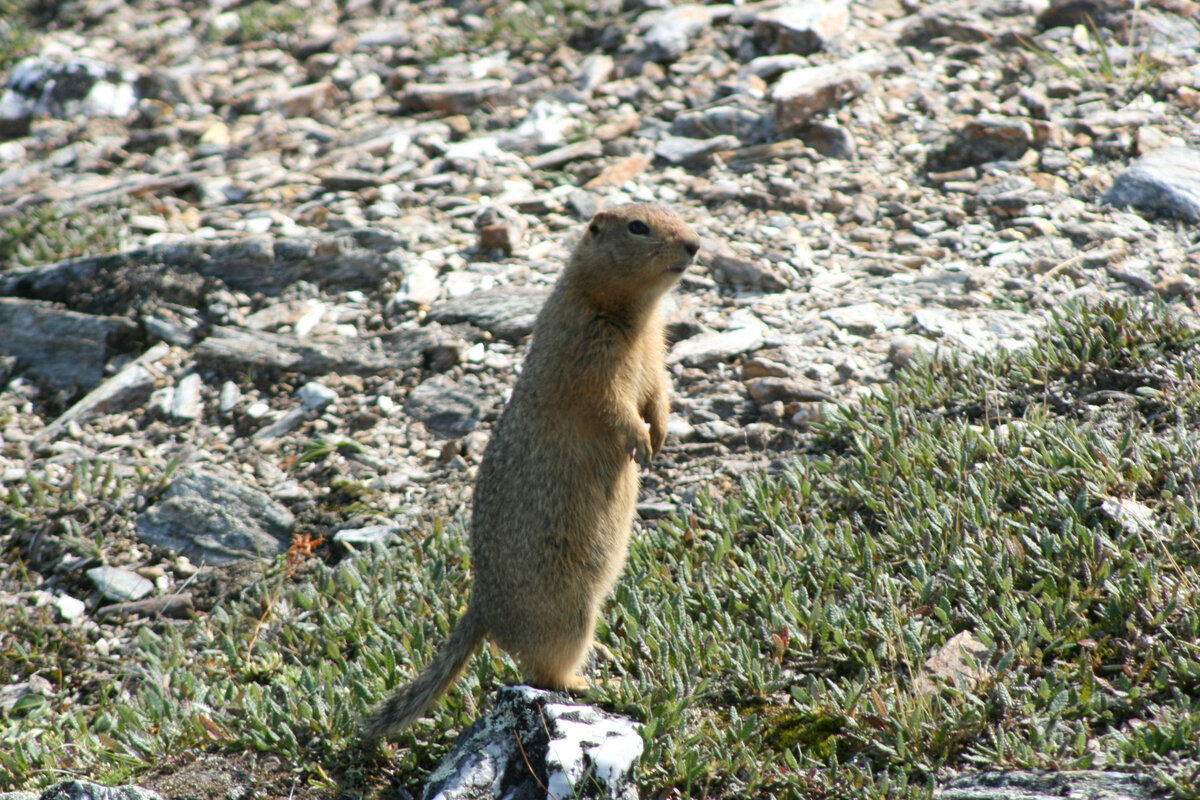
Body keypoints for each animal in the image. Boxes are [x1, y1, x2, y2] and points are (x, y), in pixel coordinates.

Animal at [364, 203, 700, 743]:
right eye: (637, 227)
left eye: (675, 211)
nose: (694, 244)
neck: (634, 312)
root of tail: (482, 606)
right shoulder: (586, 359)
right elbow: (611, 404)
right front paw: (639, 442)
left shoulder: (656, 353)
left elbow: (659, 391)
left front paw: (661, 434)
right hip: (568, 613)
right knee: (540, 671)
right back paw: (583, 680)